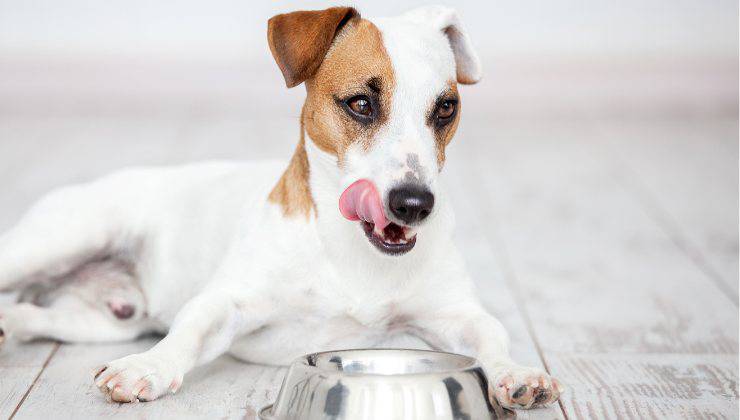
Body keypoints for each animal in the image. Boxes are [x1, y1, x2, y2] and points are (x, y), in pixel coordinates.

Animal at [0, 5, 560, 410]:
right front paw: (148, 368)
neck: (349, 249)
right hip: (61, 239)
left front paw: (516, 372)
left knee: (34, 315)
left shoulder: (455, 314)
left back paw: (10, 324)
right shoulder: (227, 302)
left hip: (106, 321)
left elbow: (490, 333)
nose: (415, 204)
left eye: (446, 108)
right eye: (361, 103)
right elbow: (191, 328)